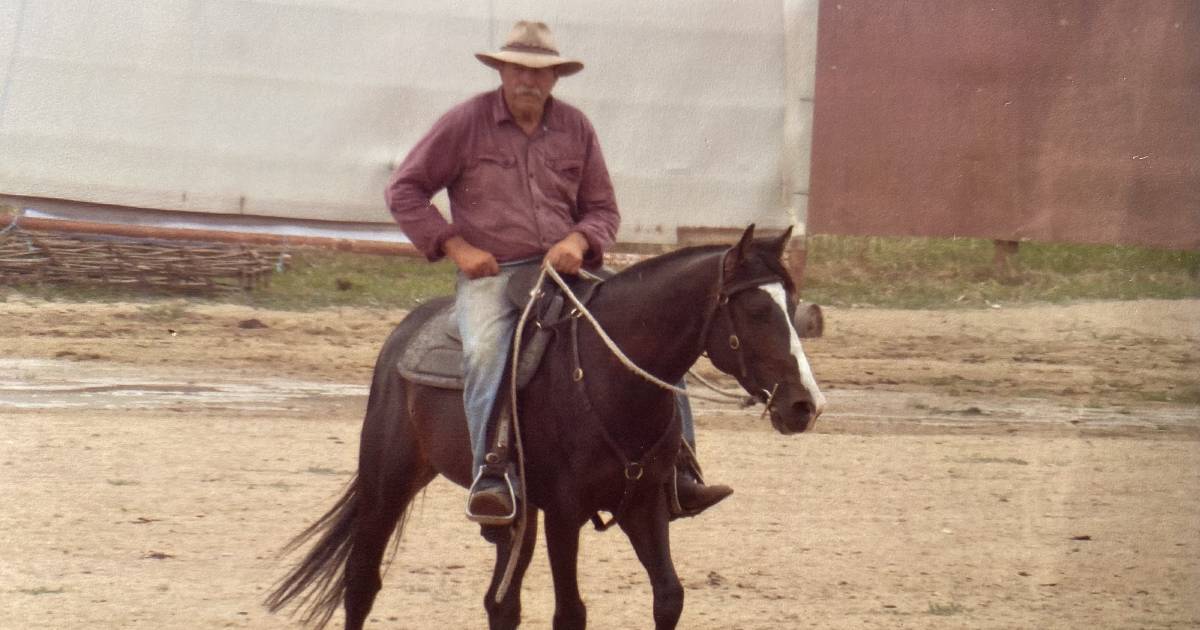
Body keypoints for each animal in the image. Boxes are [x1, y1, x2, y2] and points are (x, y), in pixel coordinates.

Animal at [265, 225, 825, 628]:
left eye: (794, 305)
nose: (805, 404)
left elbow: (668, 597)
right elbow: (570, 613)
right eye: (756, 309)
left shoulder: (643, 505)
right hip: (389, 481)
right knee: (361, 583)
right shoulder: (564, 513)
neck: (606, 377)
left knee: (500, 604)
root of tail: (404, 332)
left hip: (515, 512)